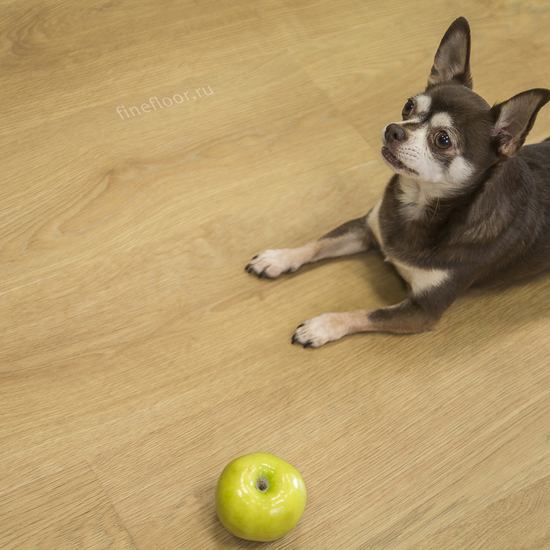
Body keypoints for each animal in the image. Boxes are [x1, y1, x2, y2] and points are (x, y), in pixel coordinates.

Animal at [246, 17, 550, 350]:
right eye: (408, 106)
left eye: (443, 140)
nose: (394, 129)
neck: (419, 204)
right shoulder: (367, 227)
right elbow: (318, 244)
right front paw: (279, 258)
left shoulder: (422, 311)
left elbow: (363, 313)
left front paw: (321, 326)